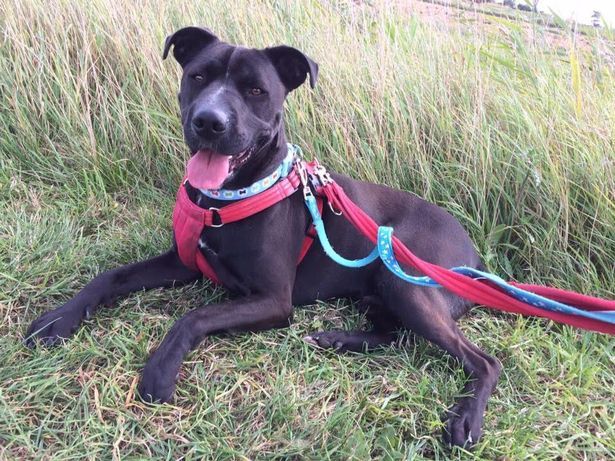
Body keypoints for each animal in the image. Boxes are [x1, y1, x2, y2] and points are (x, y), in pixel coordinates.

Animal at [26, 27, 502, 446]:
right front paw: (58, 318)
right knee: (394, 334)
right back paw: (337, 339)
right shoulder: (183, 261)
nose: (209, 122)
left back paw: (465, 420)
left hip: (403, 279)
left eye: (256, 90)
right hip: (383, 289)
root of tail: (475, 257)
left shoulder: (273, 301)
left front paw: (159, 371)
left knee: (485, 361)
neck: (225, 200)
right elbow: (111, 276)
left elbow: (194, 316)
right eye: (197, 76)